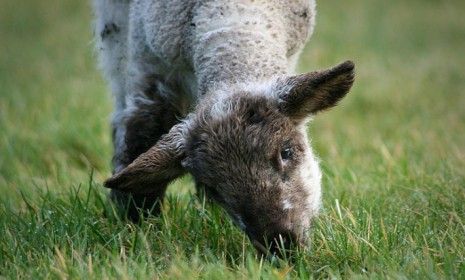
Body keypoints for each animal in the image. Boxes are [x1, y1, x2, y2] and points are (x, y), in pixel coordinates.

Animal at [94, 0, 356, 256]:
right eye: (214, 189)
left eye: (286, 152)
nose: (280, 244)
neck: (233, 22)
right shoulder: (149, 63)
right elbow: (142, 132)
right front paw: (135, 224)